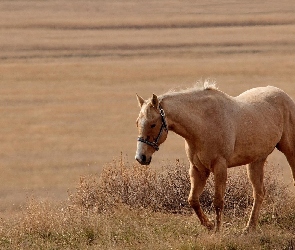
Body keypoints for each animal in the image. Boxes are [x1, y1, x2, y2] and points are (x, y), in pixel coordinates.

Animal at [135, 82, 295, 232]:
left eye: (153, 124)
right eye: (137, 122)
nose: (141, 157)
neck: (204, 123)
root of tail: (285, 97)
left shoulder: (220, 167)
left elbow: (218, 202)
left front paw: (218, 230)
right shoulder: (198, 169)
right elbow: (193, 200)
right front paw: (210, 225)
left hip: (290, 152)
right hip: (256, 161)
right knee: (259, 193)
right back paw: (249, 228)